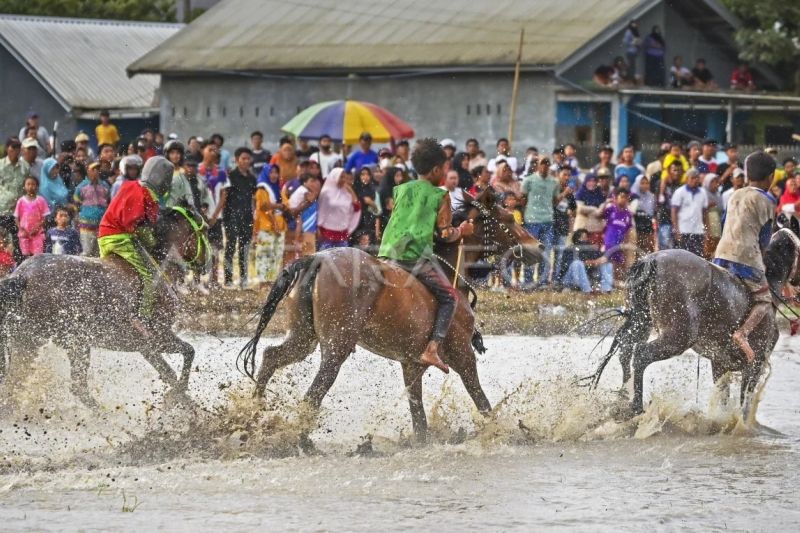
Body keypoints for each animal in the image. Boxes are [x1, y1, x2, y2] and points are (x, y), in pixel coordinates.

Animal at [0, 206, 209, 406]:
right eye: (204, 230)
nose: (206, 263)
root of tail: (21, 276)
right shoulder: (158, 336)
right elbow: (189, 351)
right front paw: (175, 398)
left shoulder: (145, 347)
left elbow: (170, 374)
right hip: (55, 343)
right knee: (54, 386)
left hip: (40, 342)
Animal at [234, 187, 540, 440]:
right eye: (509, 219)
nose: (538, 247)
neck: (448, 270)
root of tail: (317, 258)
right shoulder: (462, 353)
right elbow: (482, 401)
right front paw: (506, 431)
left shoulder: (411, 365)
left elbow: (419, 420)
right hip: (337, 346)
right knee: (313, 394)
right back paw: (301, 441)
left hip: (303, 337)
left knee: (271, 357)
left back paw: (254, 414)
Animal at [580, 228, 800, 416]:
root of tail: (652, 259)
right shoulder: (755, 365)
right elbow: (744, 405)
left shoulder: (720, 364)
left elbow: (723, 399)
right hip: (678, 337)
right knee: (641, 354)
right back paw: (636, 406)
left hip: (642, 321)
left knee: (626, 351)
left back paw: (624, 397)